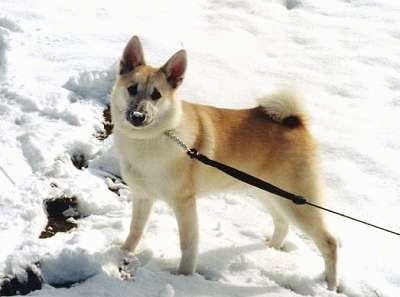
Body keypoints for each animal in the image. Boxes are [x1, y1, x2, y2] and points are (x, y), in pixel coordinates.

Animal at [111, 34, 340, 290]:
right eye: (132, 89)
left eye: (156, 95)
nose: (138, 116)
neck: (149, 139)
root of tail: (294, 122)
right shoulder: (142, 196)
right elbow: (135, 230)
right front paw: (123, 253)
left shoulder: (184, 204)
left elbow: (188, 245)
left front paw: (183, 277)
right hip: (268, 193)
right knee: (282, 223)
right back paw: (271, 249)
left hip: (295, 203)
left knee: (329, 242)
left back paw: (330, 286)